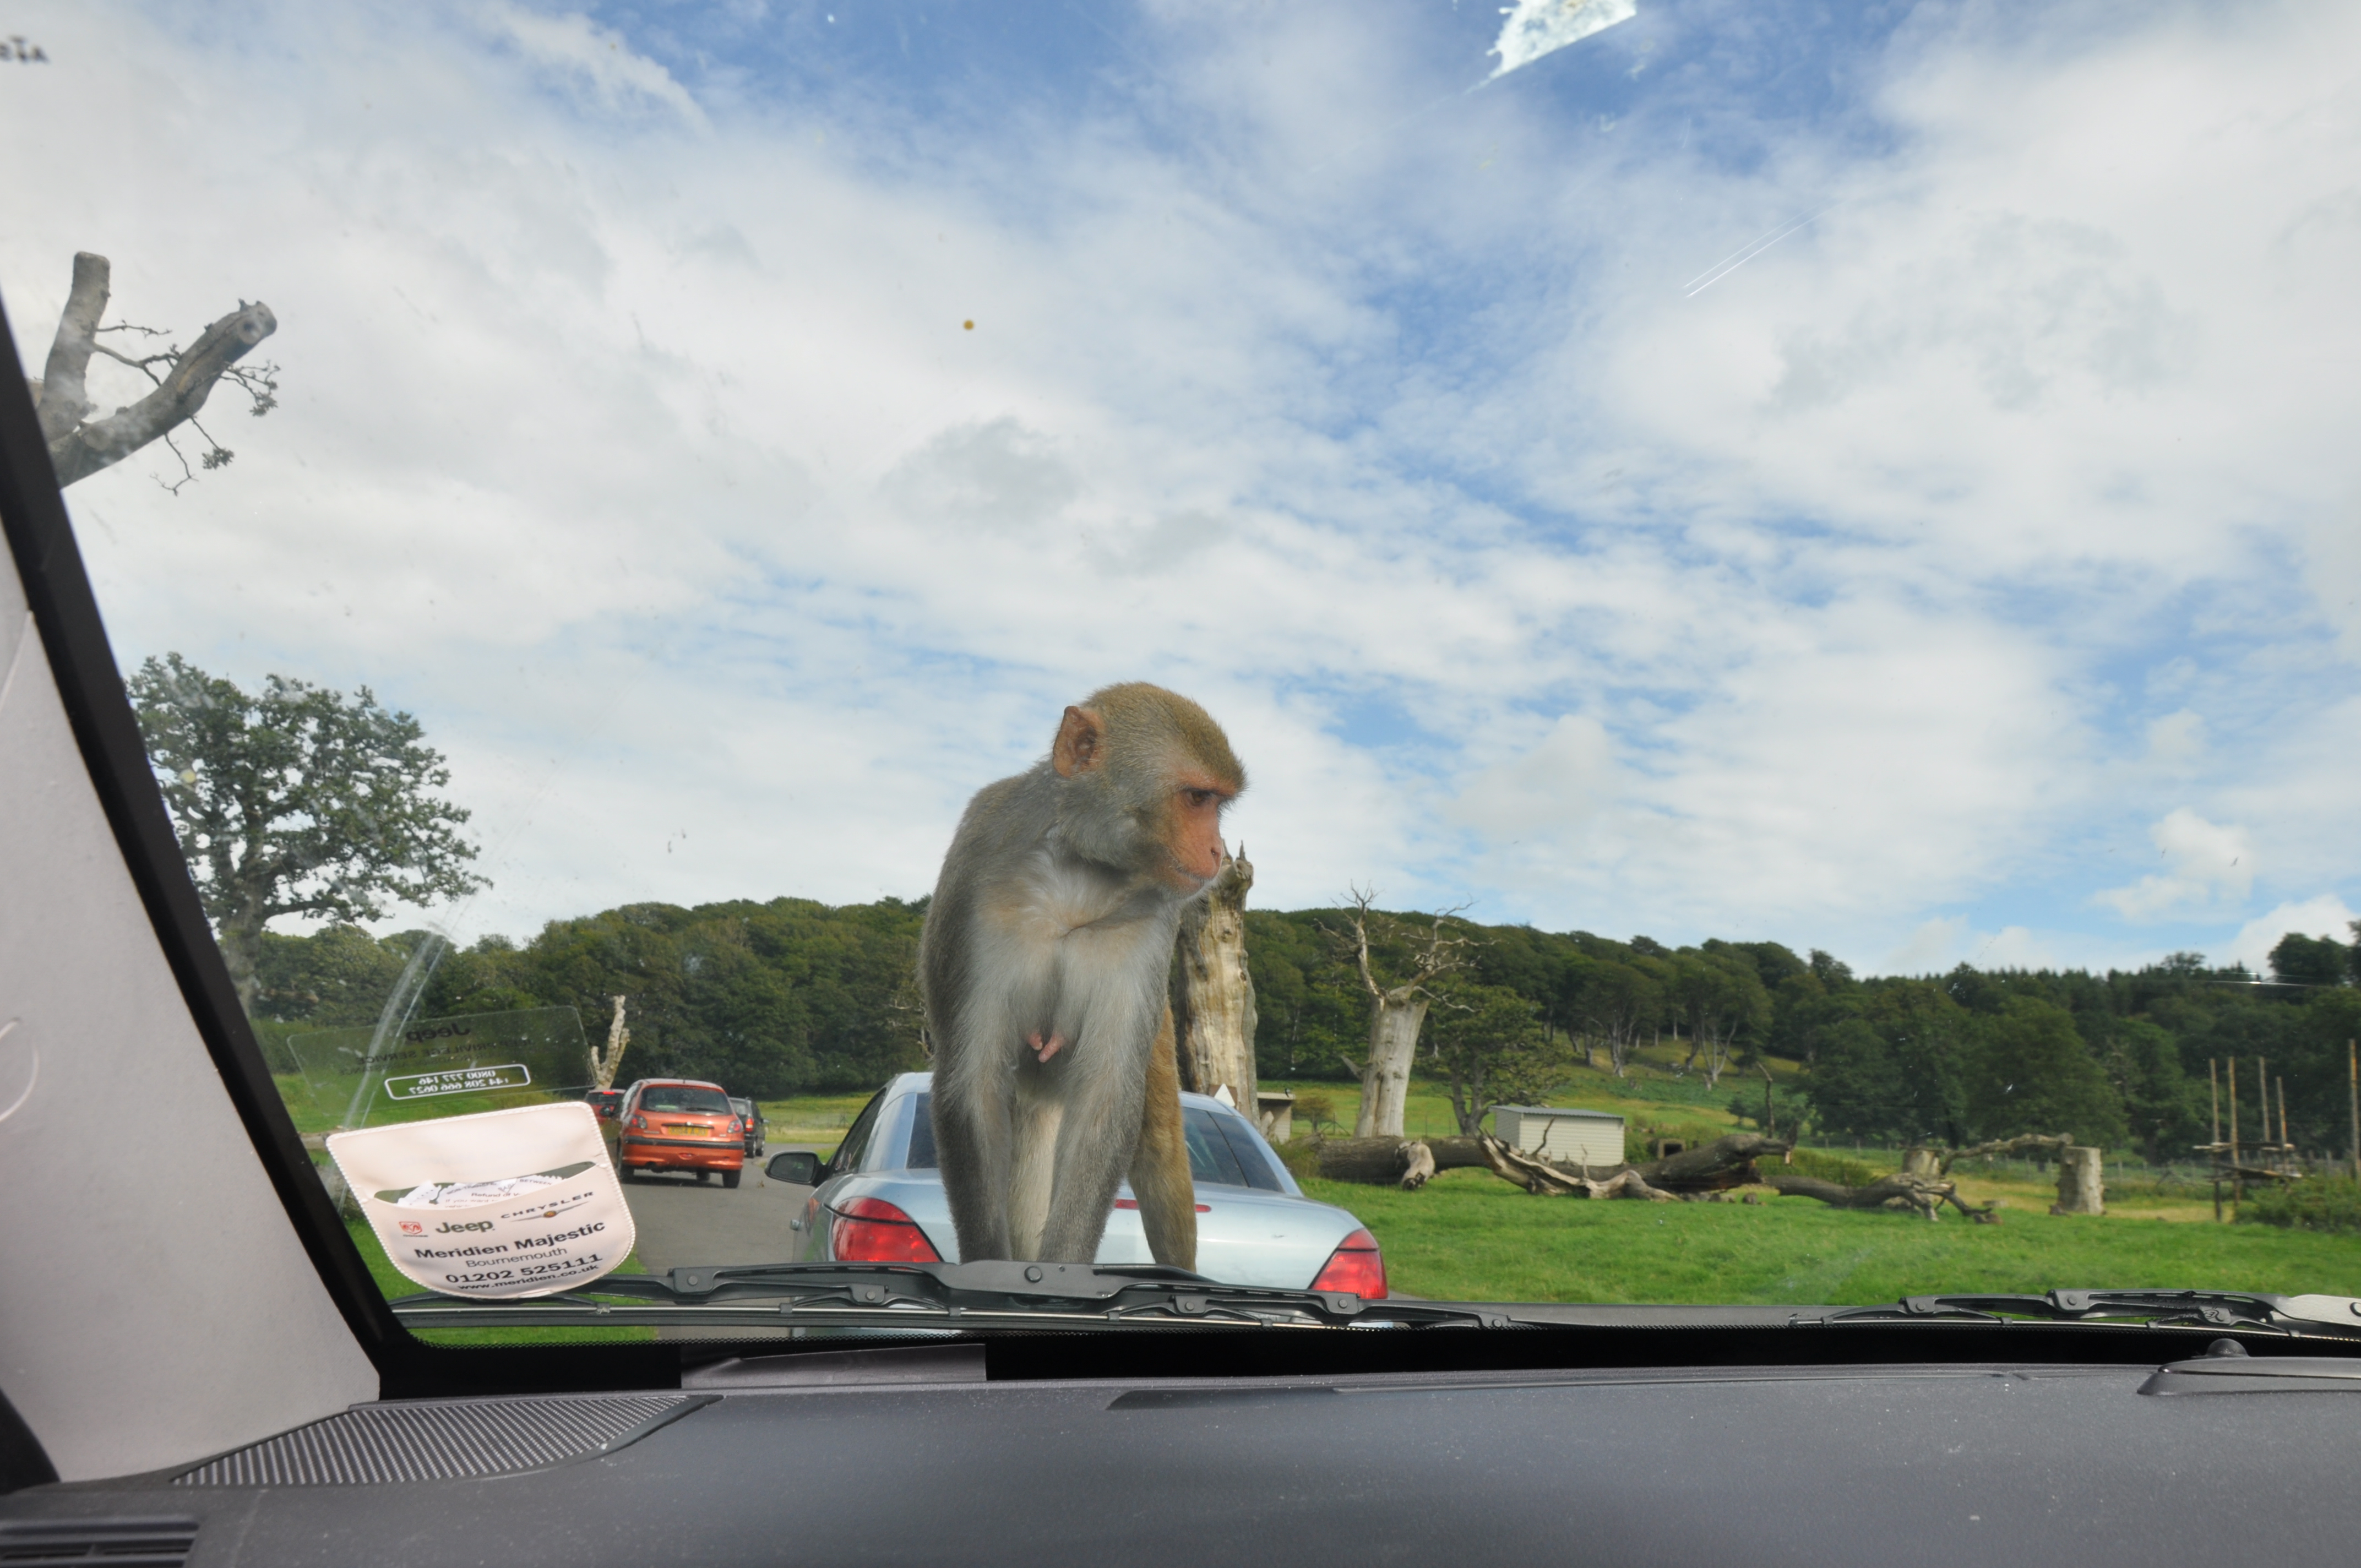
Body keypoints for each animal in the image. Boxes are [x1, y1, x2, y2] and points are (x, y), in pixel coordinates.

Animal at [921, 680, 1256, 1265]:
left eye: (1218, 803)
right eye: (1198, 798)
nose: (1217, 850)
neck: (1082, 870)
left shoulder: (1155, 924)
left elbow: (1104, 1102)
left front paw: (1061, 1266)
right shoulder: (973, 871)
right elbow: (973, 1090)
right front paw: (990, 1265)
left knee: (1159, 1145)